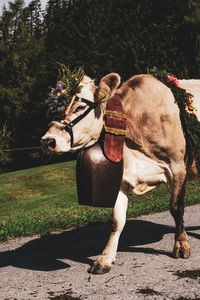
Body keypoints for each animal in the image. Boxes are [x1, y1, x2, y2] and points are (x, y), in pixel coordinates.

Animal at [41, 73, 198, 274]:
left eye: (81, 107)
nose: (47, 140)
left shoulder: (178, 166)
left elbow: (176, 208)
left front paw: (181, 245)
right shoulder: (123, 177)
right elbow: (117, 220)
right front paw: (105, 258)